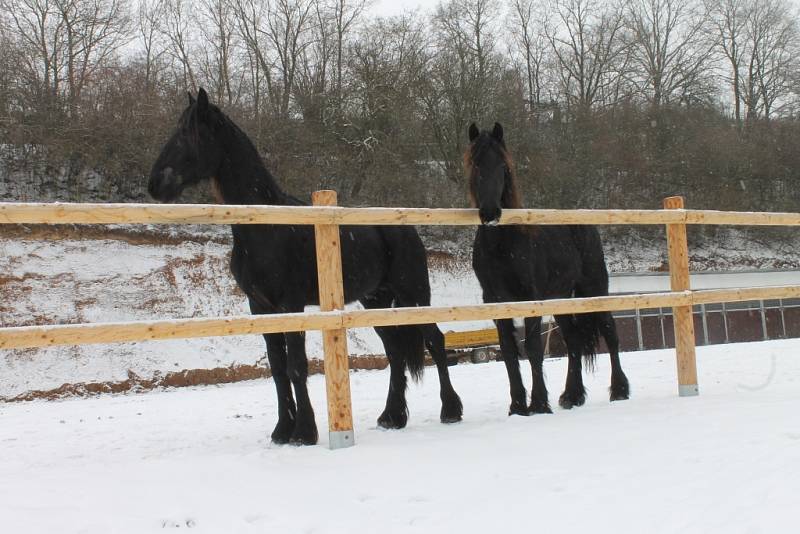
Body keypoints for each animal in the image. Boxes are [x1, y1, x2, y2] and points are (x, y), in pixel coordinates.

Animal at [148, 89, 462, 448]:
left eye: (190, 134)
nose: (155, 183)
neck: (265, 226)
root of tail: (406, 226)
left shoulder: (291, 304)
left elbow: (297, 366)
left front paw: (303, 432)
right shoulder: (261, 308)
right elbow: (277, 368)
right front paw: (282, 430)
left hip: (413, 294)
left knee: (435, 341)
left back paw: (450, 410)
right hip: (376, 301)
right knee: (395, 352)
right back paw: (392, 417)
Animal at [466, 123, 628, 416]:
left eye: (503, 166)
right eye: (475, 164)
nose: (490, 212)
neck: (503, 244)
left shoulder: (531, 299)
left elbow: (532, 349)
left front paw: (539, 404)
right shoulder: (496, 301)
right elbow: (509, 351)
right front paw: (517, 406)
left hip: (593, 289)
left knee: (610, 332)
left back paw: (619, 390)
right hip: (561, 298)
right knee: (573, 341)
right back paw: (571, 396)